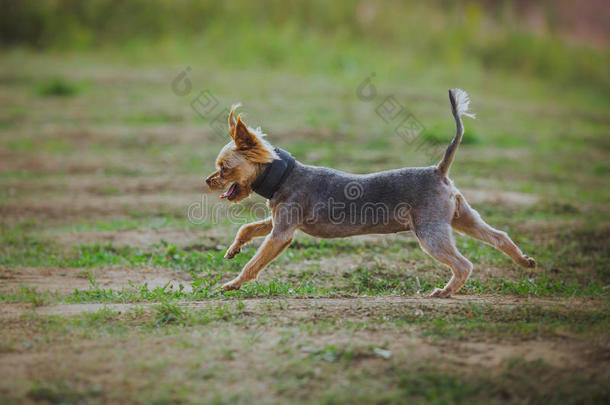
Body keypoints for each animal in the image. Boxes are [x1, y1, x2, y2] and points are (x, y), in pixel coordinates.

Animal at [204, 89, 532, 296]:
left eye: (224, 168)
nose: (207, 181)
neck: (283, 174)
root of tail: (438, 170)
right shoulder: (277, 221)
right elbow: (247, 228)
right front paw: (233, 249)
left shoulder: (281, 233)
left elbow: (254, 264)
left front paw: (233, 284)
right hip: (460, 217)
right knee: (498, 236)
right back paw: (523, 261)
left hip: (430, 232)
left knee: (464, 265)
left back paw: (446, 291)